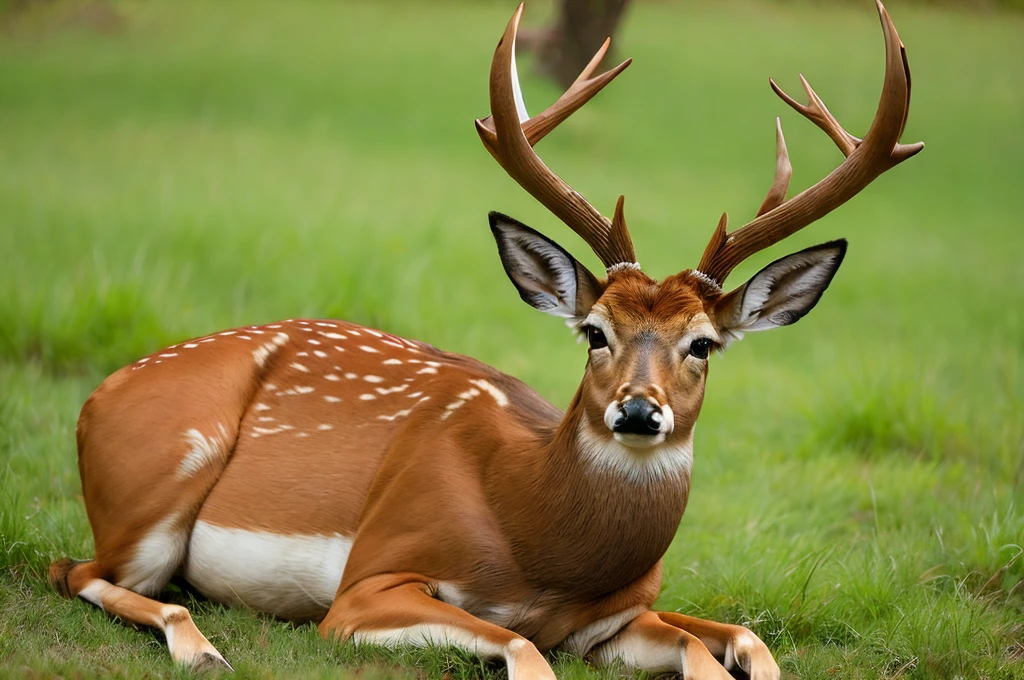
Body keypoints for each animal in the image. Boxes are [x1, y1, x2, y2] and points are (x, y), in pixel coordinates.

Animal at [49, 2, 921, 675]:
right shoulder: (371, 579)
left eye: (703, 343)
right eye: (594, 332)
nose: (639, 412)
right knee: (78, 571)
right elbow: (525, 649)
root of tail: (96, 399)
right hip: (157, 482)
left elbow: (743, 638)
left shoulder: (618, 619)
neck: (538, 550)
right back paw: (200, 648)